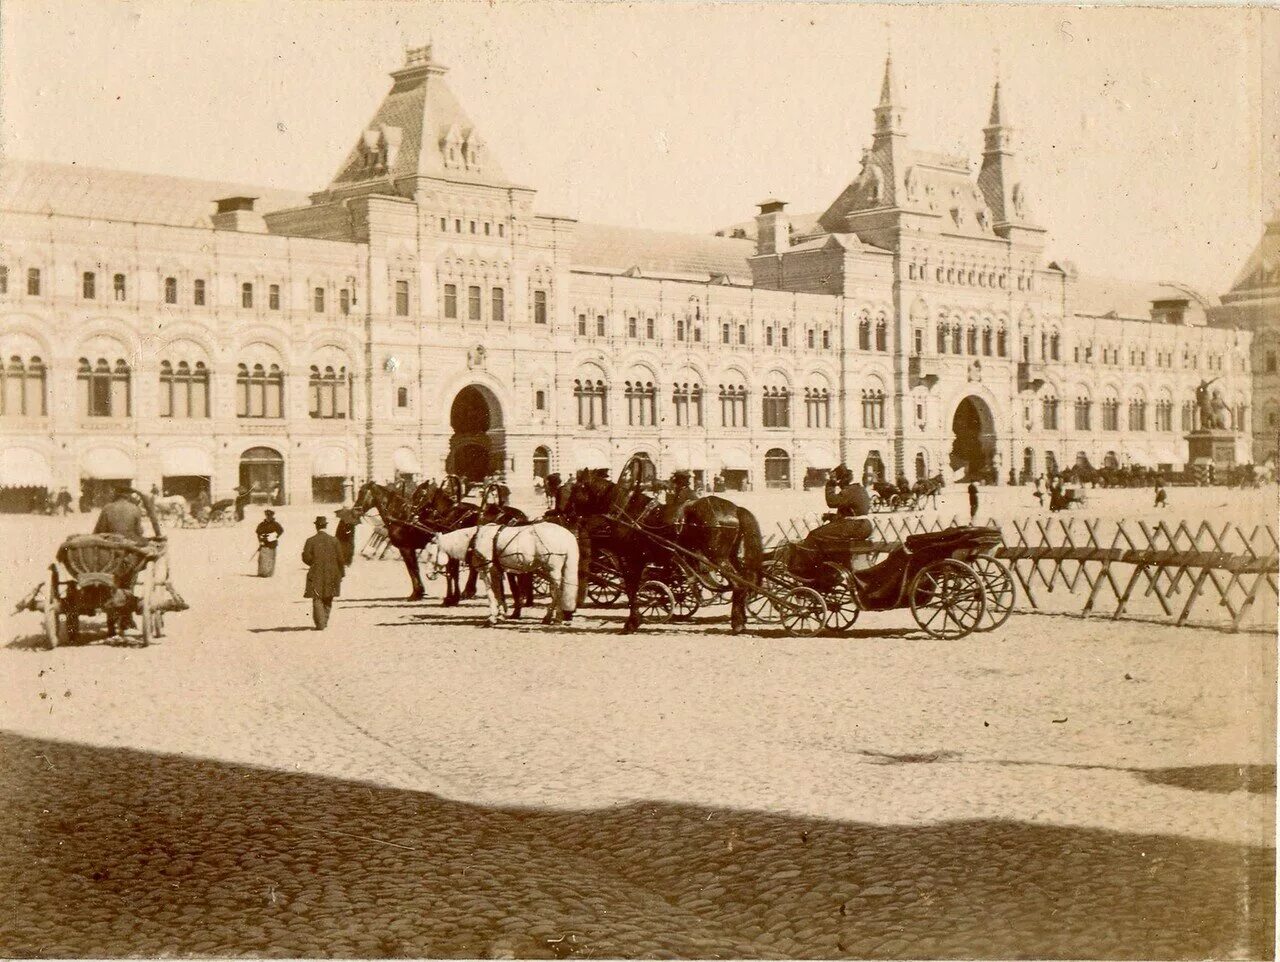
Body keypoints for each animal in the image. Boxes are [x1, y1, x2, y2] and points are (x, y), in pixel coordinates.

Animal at [422, 521, 578, 626]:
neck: (475, 540)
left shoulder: (485, 570)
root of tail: (567, 535)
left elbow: (491, 594)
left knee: (557, 591)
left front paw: (492, 618)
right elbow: (498, 592)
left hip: (552, 569)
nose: (428, 575)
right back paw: (556, 617)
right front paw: (501, 614)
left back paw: (553, 617)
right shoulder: (495, 570)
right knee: (558, 591)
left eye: (430, 554)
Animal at [558, 465, 757, 631]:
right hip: (730, 556)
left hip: (717, 557)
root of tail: (735, 509)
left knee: (739, 584)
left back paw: (737, 623)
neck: (627, 513)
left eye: (576, 488)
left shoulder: (630, 559)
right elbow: (635, 588)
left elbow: (631, 589)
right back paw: (743, 618)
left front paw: (632, 622)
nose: (565, 512)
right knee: (745, 582)